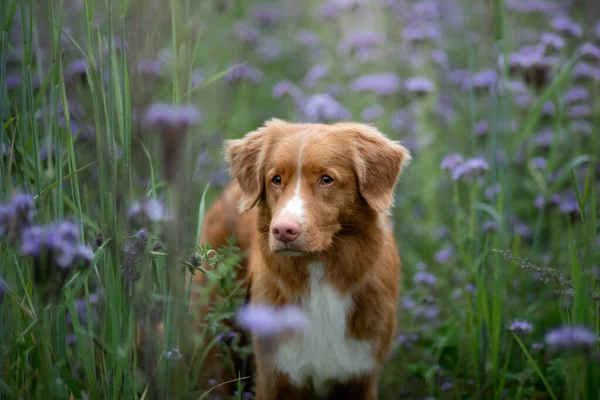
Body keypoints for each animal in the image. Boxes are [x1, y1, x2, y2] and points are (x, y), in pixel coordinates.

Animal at [195, 119, 410, 400]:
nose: (283, 231)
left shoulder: (361, 375)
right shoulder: (275, 374)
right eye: (276, 179)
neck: (320, 271)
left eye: (326, 179)